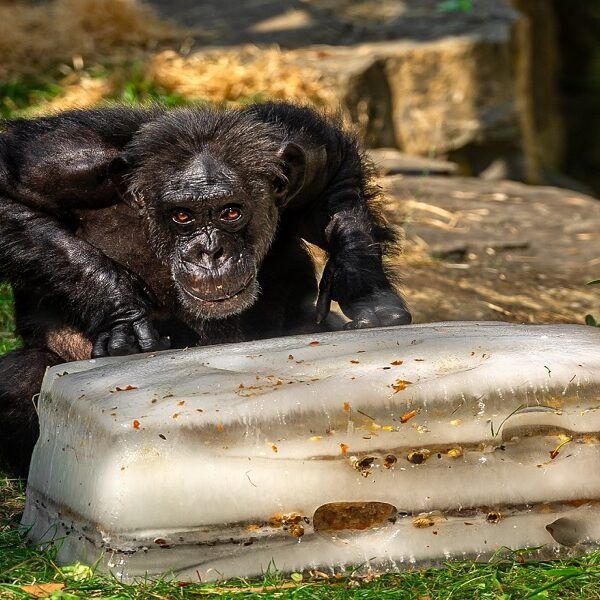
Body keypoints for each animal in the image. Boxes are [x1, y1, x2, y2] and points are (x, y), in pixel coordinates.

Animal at [0, 101, 410, 472]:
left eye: (231, 211)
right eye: (183, 215)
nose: (209, 252)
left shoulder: (296, 149)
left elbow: (337, 169)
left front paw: (362, 285)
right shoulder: (62, 161)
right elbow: (8, 189)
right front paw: (123, 311)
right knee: (22, 376)